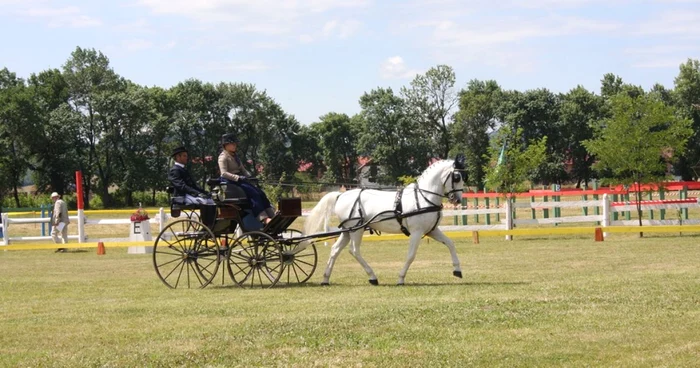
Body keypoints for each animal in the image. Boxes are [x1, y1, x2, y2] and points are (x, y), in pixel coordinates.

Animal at [304, 155, 464, 284]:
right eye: (456, 177)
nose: (457, 200)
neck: (424, 197)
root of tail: (341, 195)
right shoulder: (416, 232)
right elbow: (411, 255)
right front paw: (401, 278)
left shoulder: (432, 230)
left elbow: (450, 243)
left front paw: (457, 270)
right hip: (357, 230)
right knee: (354, 251)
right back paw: (372, 277)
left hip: (347, 231)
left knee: (335, 250)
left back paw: (326, 279)